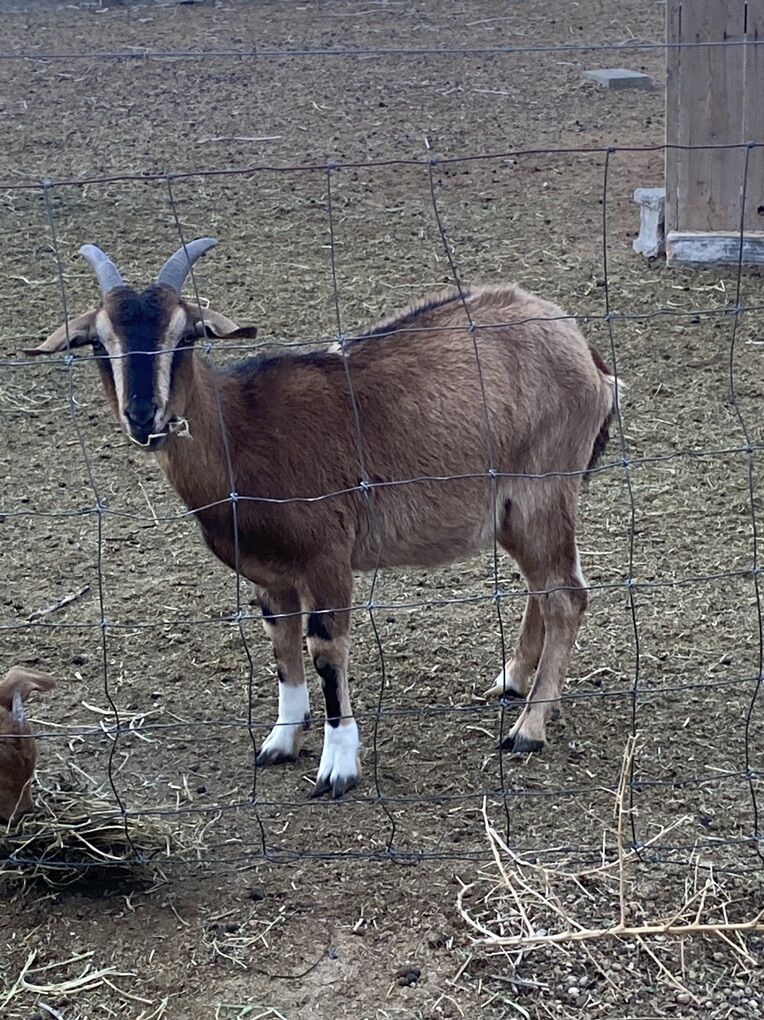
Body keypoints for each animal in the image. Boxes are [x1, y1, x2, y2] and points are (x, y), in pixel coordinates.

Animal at [32, 238, 616, 799]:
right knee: (544, 585)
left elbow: (325, 650)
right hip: (513, 512)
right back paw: (513, 680)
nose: (142, 415)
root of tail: (587, 353)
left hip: (544, 491)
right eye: (98, 341)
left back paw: (528, 728)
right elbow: (282, 645)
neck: (240, 431)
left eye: (186, 334)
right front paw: (281, 740)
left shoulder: (327, 559)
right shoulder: (270, 573)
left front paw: (338, 766)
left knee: (567, 596)